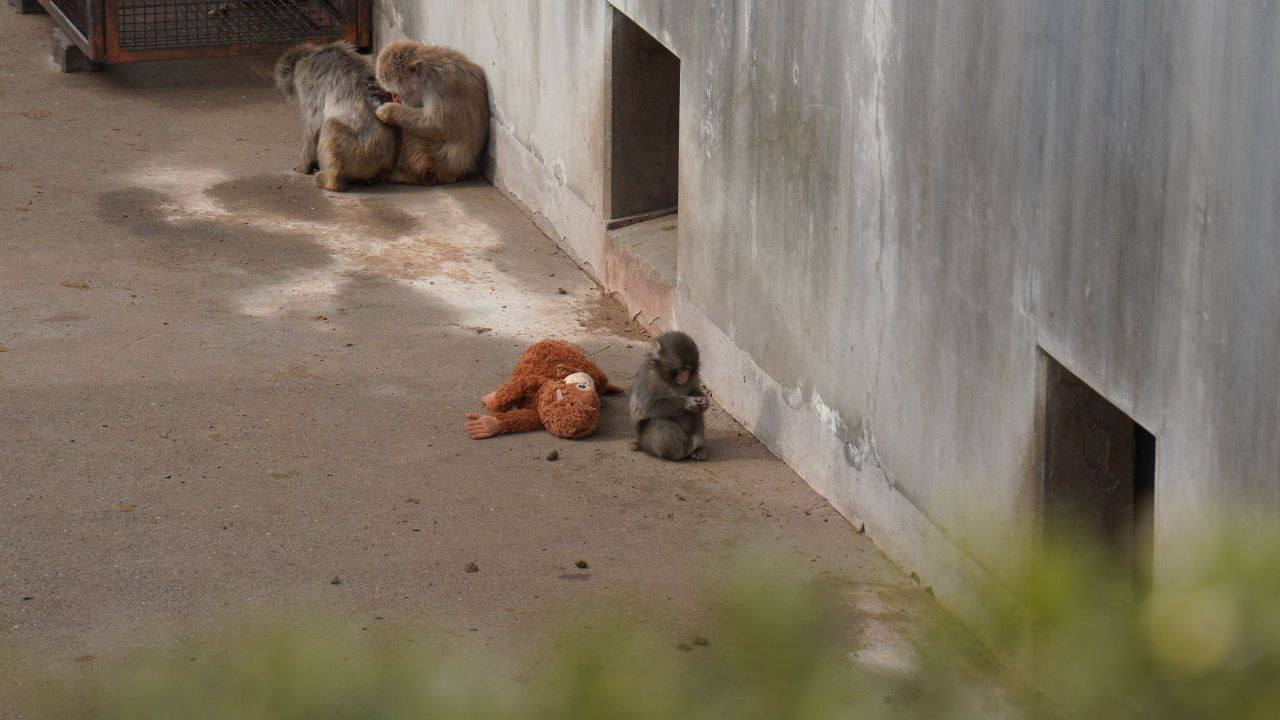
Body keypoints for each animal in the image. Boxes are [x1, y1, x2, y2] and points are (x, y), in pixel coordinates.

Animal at [274, 42, 397, 192]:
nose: (285, 92)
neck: (313, 53)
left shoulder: (305, 77)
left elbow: (313, 124)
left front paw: (304, 165)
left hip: (358, 152)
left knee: (329, 125)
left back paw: (330, 181)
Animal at [373, 41, 489, 186]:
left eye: (399, 91)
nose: (395, 97)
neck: (429, 74)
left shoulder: (442, 87)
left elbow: (439, 126)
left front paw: (389, 111)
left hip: (432, 162)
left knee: (411, 132)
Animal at [629, 331, 710, 461]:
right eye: (682, 368)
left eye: (689, 370)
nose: (685, 376)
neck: (669, 379)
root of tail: (641, 445)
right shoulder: (650, 378)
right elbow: (650, 407)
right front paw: (687, 402)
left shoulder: (694, 378)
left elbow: (695, 391)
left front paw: (704, 401)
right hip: (647, 441)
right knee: (658, 423)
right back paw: (684, 450)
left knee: (697, 413)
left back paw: (697, 450)